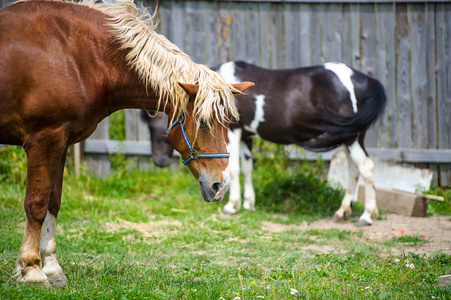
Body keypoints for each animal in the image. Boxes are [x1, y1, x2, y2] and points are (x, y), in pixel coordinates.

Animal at [0, 0, 252, 286]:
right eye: (204, 122)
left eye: (227, 122)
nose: (222, 186)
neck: (76, 54)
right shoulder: (43, 139)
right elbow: (36, 202)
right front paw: (31, 268)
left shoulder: (60, 142)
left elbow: (53, 200)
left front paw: (51, 267)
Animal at [214, 61, 386, 225]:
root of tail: (362, 79)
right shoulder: (246, 136)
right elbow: (247, 169)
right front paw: (248, 204)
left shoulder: (232, 131)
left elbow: (233, 169)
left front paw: (232, 206)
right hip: (347, 137)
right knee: (354, 170)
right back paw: (342, 211)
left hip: (352, 138)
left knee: (366, 167)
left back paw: (367, 215)